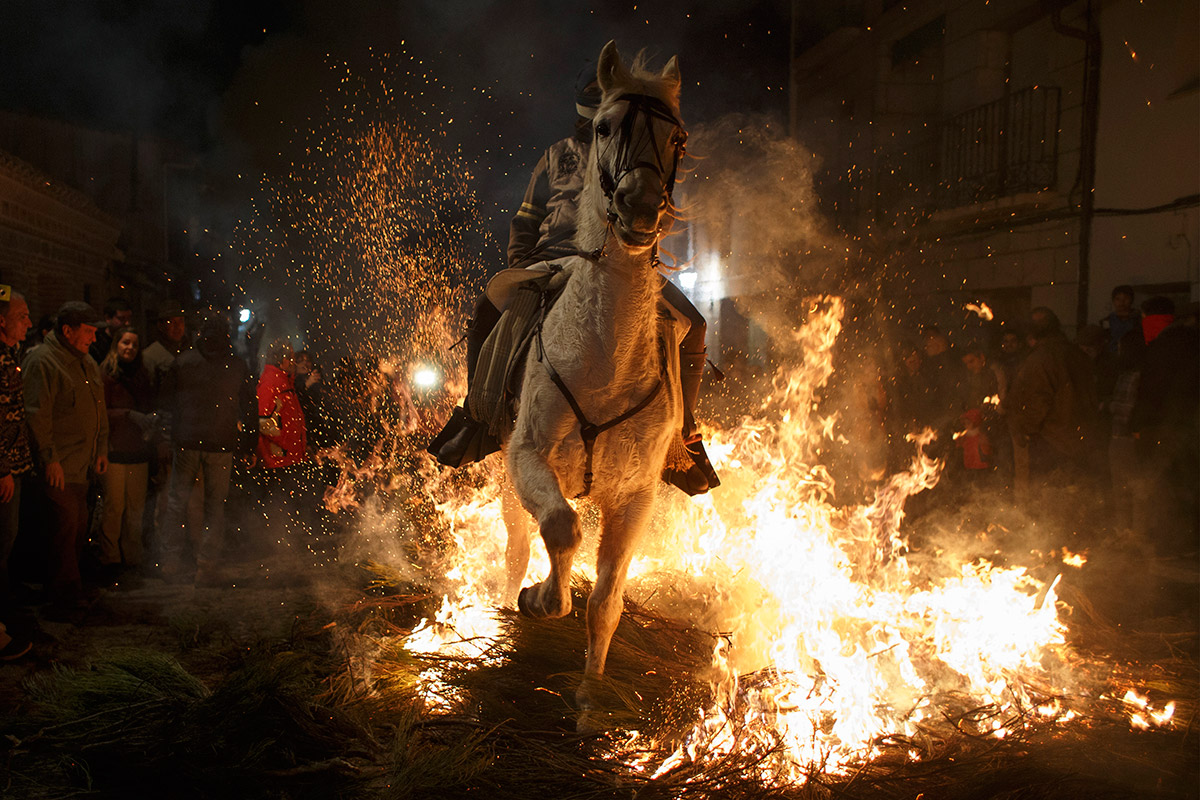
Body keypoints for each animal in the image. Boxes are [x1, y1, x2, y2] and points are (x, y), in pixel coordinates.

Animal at [499, 42, 686, 724]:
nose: (640, 207)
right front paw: (540, 600)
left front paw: (589, 694)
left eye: (678, 138)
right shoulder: (528, 456)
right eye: (604, 127)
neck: (605, 360)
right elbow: (560, 530)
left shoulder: (634, 496)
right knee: (517, 543)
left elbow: (607, 601)